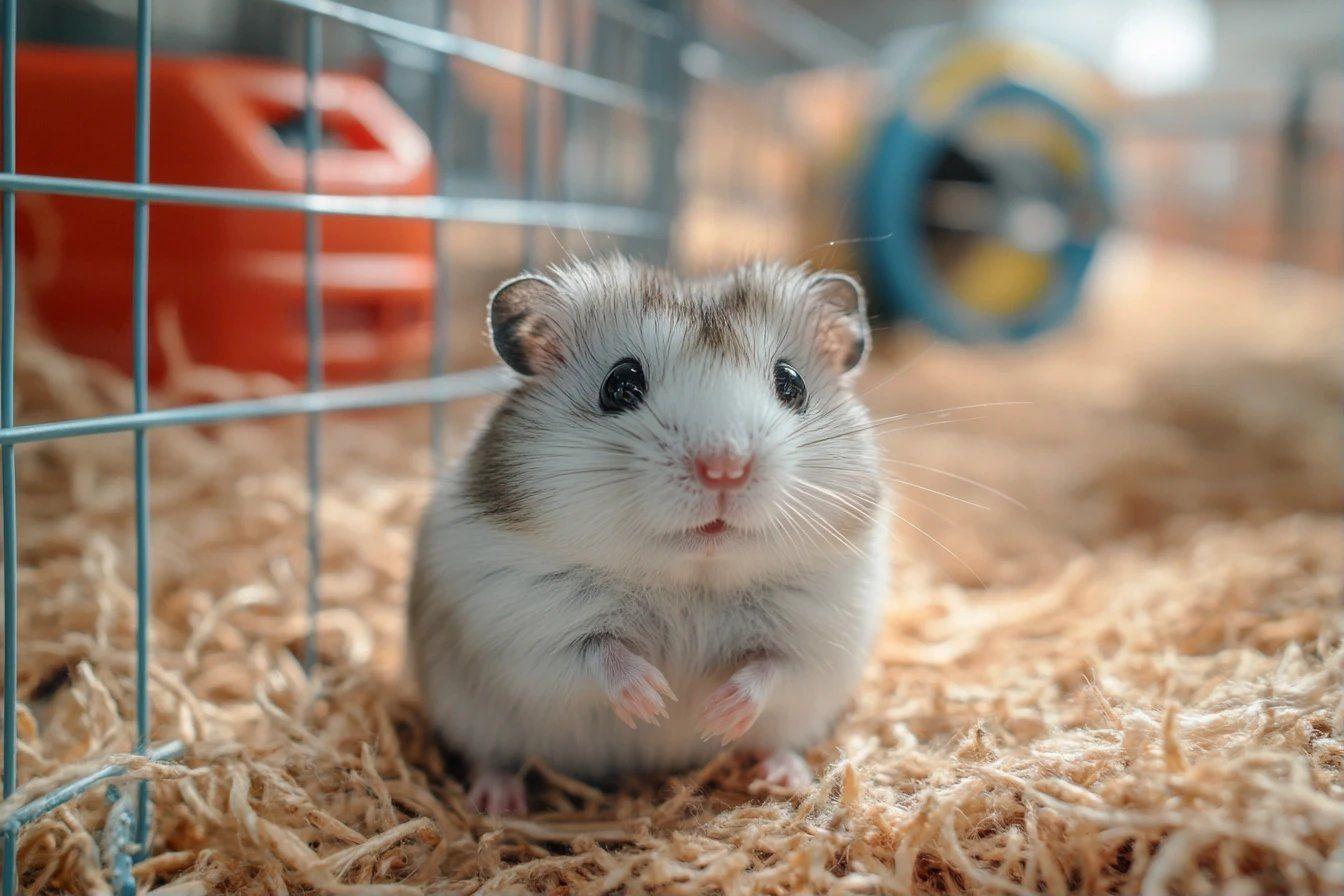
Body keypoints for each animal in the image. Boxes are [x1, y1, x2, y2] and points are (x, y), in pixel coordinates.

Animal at [408, 256, 888, 815]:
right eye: (620, 384)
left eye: (791, 383)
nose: (724, 469)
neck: (691, 579)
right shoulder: (523, 626)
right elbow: (594, 654)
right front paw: (655, 702)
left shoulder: (819, 635)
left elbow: (773, 669)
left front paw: (713, 714)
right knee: (492, 756)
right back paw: (497, 803)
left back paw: (786, 777)